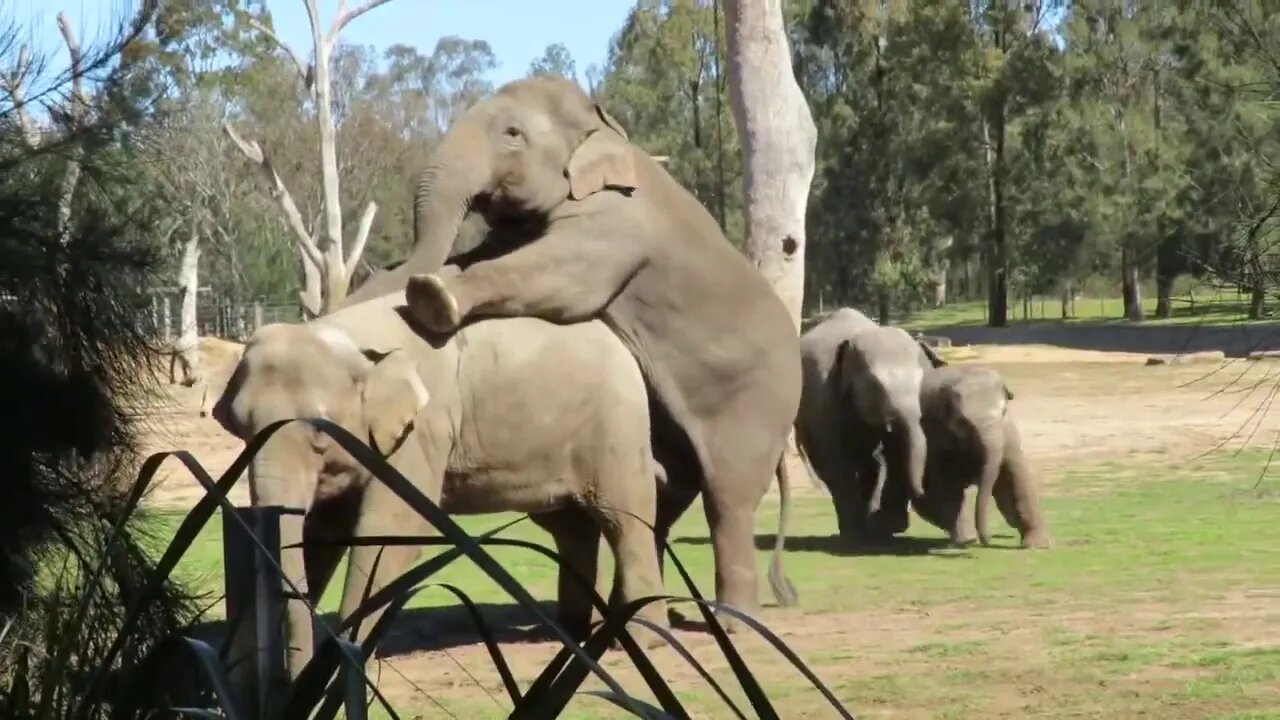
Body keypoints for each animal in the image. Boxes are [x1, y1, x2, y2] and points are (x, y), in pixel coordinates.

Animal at [208, 288, 670, 676]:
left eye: (321, 429)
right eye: (238, 426)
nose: (294, 670)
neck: (347, 334)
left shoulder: (424, 428)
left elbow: (388, 531)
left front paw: (341, 665)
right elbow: (322, 535)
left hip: (617, 425)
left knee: (624, 520)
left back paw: (643, 641)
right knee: (570, 527)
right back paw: (566, 634)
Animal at [348, 74, 798, 622]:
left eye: (513, 133)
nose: (392, 272)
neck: (606, 130)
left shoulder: (615, 224)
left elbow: (560, 277)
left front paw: (432, 297)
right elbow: (486, 255)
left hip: (755, 408)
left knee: (727, 501)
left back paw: (734, 620)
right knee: (662, 500)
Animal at [793, 304, 947, 540]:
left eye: (923, 383)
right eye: (875, 387)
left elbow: (894, 454)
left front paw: (886, 527)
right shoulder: (823, 400)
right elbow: (835, 462)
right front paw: (857, 534)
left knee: (872, 464)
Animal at [921, 363, 1049, 543]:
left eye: (1004, 411)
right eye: (962, 422)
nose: (988, 540)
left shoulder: (1006, 430)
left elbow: (1015, 471)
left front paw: (1038, 544)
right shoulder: (933, 432)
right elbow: (944, 479)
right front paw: (966, 540)